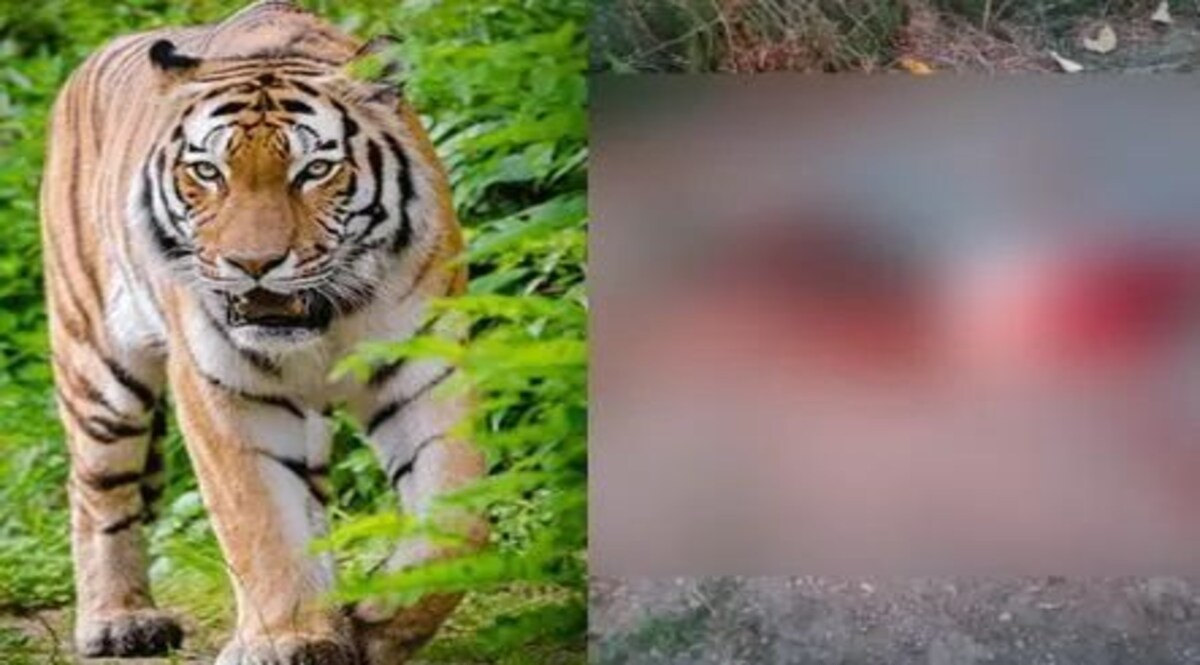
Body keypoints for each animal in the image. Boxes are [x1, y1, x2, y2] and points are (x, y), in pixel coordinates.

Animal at [39, 1, 485, 663]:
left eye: (315, 169)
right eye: (207, 172)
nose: (253, 264)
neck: (329, 319)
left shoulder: (425, 368)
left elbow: (458, 517)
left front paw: (375, 624)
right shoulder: (224, 388)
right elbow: (260, 523)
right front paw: (291, 637)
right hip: (99, 371)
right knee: (97, 491)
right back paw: (120, 621)